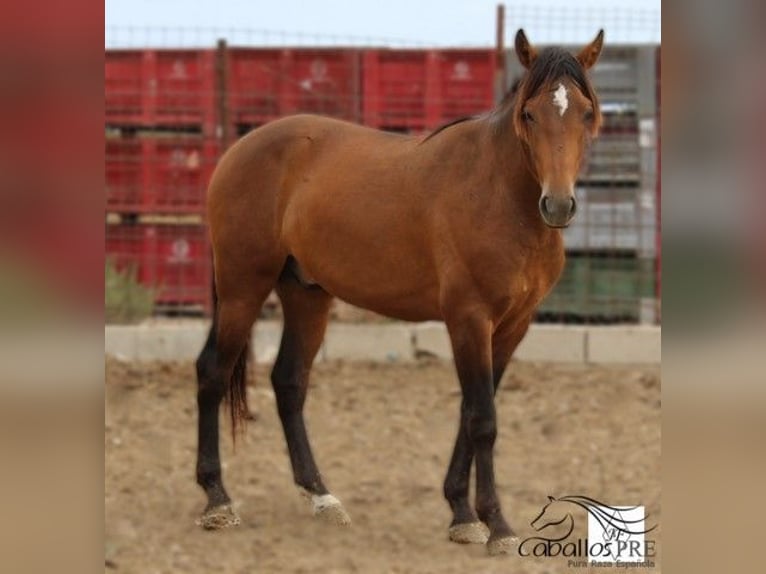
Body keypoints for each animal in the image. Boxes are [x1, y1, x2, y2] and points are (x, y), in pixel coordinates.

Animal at [195, 29, 604, 556]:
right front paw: (496, 524)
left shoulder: (514, 325)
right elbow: (483, 420)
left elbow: (473, 411)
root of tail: (238, 149)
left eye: (586, 113)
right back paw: (217, 500)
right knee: (212, 373)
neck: (497, 193)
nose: (557, 204)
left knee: (289, 383)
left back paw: (322, 497)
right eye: (530, 113)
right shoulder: (469, 319)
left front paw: (461, 512)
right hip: (242, 286)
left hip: (306, 294)